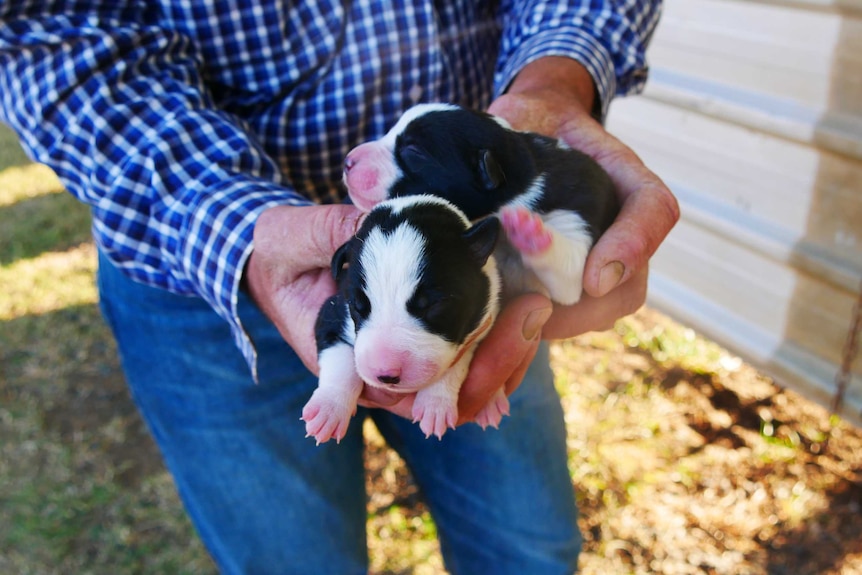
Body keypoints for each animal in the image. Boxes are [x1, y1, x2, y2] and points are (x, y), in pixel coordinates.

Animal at [306, 196, 502, 444]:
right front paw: (329, 407)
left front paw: (435, 404)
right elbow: (339, 358)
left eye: (432, 305)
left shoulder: (482, 320)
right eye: (358, 306)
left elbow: (456, 363)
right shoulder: (332, 313)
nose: (385, 375)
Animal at [342, 103, 620, 306]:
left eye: (413, 151)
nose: (347, 161)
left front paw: (529, 232)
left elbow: (570, 272)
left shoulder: (578, 211)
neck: (522, 175)